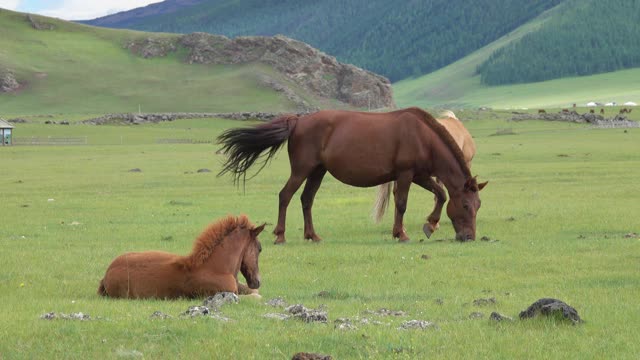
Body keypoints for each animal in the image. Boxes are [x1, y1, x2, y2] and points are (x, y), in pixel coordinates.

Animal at [95, 215, 264, 300]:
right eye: (260, 249)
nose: (257, 281)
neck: (215, 267)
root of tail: (106, 274)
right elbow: (256, 296)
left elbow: (254, 292)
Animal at [218, 105, 488, 243]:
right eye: (466, 205)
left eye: (478, 206)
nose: (469, 237)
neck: (423, 136)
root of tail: (298, 121)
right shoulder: (406, 174)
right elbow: (401, 204)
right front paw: (401, 233)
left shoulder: (420, 175)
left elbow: (441, 194)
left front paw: (430, 224)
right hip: (302, 170)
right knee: (285, 196)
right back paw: (280, 235)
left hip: (318, 171)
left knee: (306, 199)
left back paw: (312, 235)